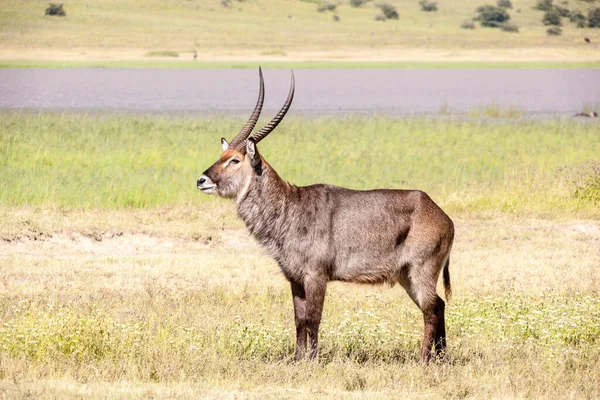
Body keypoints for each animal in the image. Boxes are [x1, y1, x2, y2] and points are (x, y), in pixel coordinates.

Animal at [198, 68, 454, 362]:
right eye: (222, 156)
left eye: (234, 160)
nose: (201, 180)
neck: (290, 206)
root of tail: (441, 214)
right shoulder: (295, 278)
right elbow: (299, 319)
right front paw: (297, 359)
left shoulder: (316, 275)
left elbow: (313, 318)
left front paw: (313, 360)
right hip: (406, 276)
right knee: (439, 305)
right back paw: (441, 358)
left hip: (421, 270)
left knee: (431, 309)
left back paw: (424, 359)